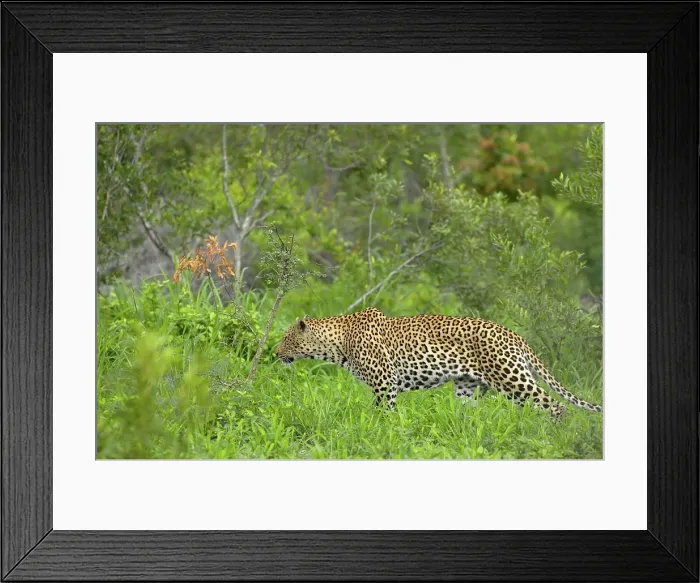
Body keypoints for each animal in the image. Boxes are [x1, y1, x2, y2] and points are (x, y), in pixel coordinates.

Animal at [275, 306, 602, 421]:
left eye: (286, 338)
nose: (275, 353)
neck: (338, 342)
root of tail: (513, 335)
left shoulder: (385, 385)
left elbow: (386, 415)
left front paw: (386, 432)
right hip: (468, 388)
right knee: (468, 415)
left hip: (512, 378)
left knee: (555, 405)